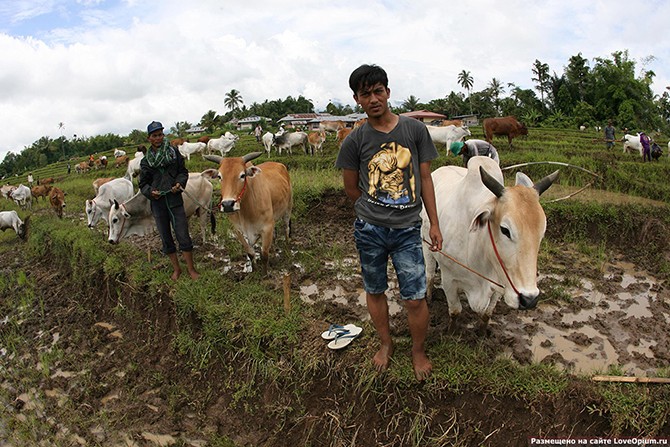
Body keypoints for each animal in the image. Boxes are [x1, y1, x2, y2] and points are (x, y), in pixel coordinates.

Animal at [426, 157, 560, 322]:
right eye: (505, 230)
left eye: (541, 233)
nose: (529, 300)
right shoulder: (449, 280)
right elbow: (455, 312)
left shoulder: (501, 285)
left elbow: (486, 315)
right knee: (429, 274)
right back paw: (429, 298)